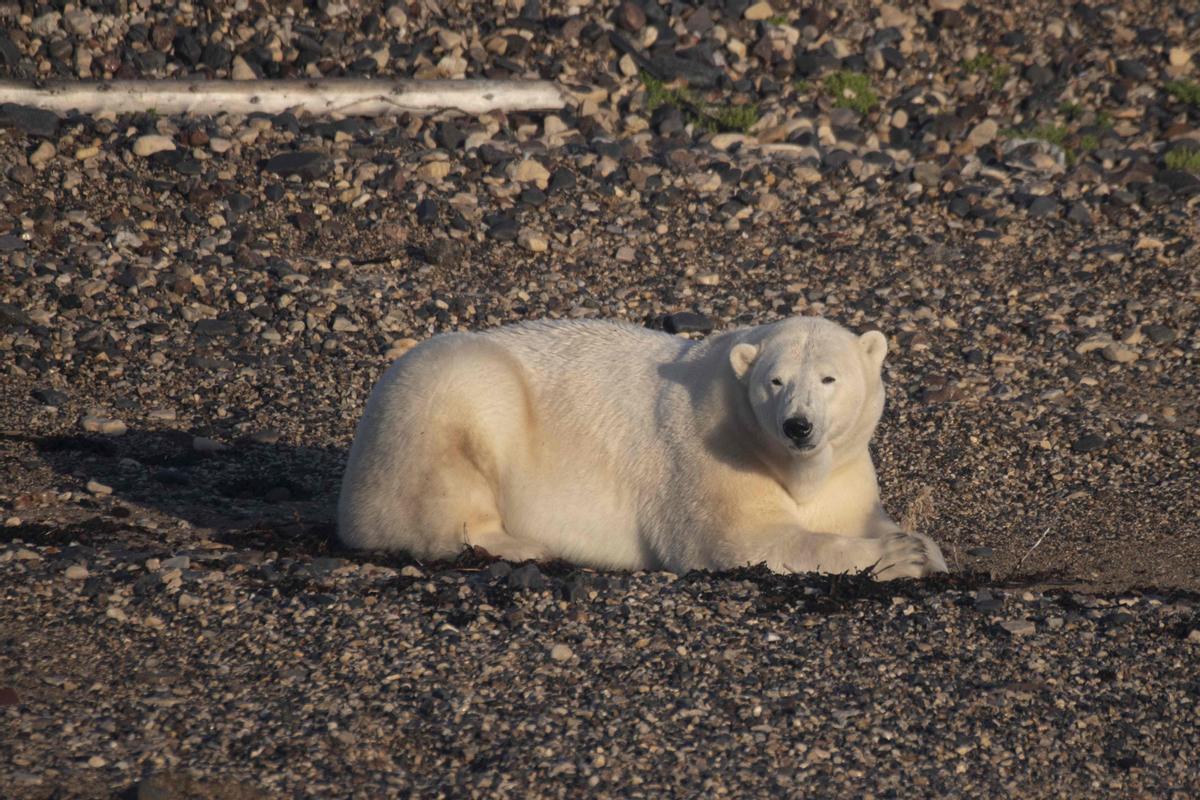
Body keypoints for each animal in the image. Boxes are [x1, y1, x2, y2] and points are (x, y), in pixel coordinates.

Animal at [336, 316, 945, 578]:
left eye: (828, 379)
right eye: (775, 380)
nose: (798, 426)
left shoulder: (846, 470)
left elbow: (853, 514)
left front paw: (922, 547)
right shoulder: (712, 457)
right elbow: (744, 541)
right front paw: (899, 558)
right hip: (443, 396)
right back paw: (525, 545)